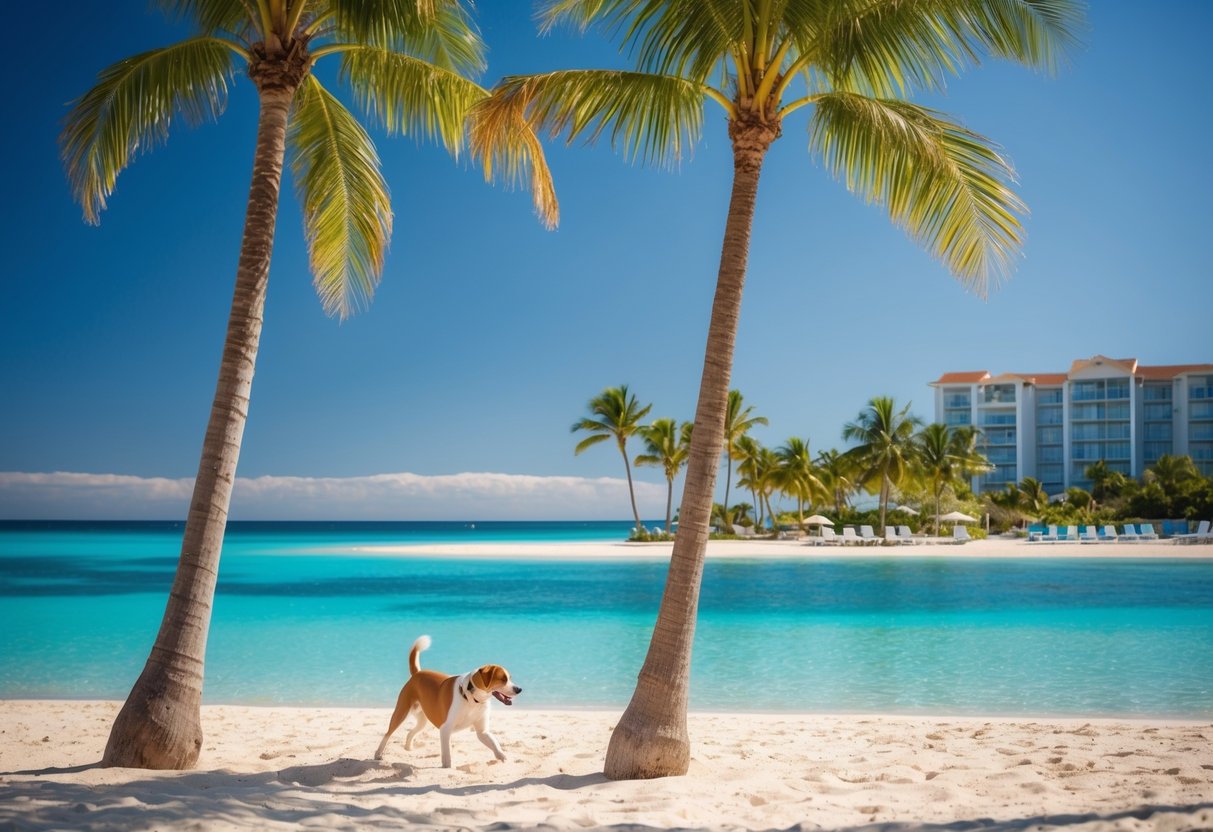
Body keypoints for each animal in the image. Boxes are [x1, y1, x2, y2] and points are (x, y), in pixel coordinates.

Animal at [371, 640, 519, 771]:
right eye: (503, 679)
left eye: (510, 678)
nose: (519, 689)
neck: (471, 699)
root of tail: (417, 673)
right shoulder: (445, 729)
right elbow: (447, 755)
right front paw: (447, 767)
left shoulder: (482, 732)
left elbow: (495, 744)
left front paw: (504, 758)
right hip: (401, 713)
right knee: (387, 734)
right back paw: (378, 754)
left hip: (422, 721)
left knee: (411, 732)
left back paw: (408, 748)